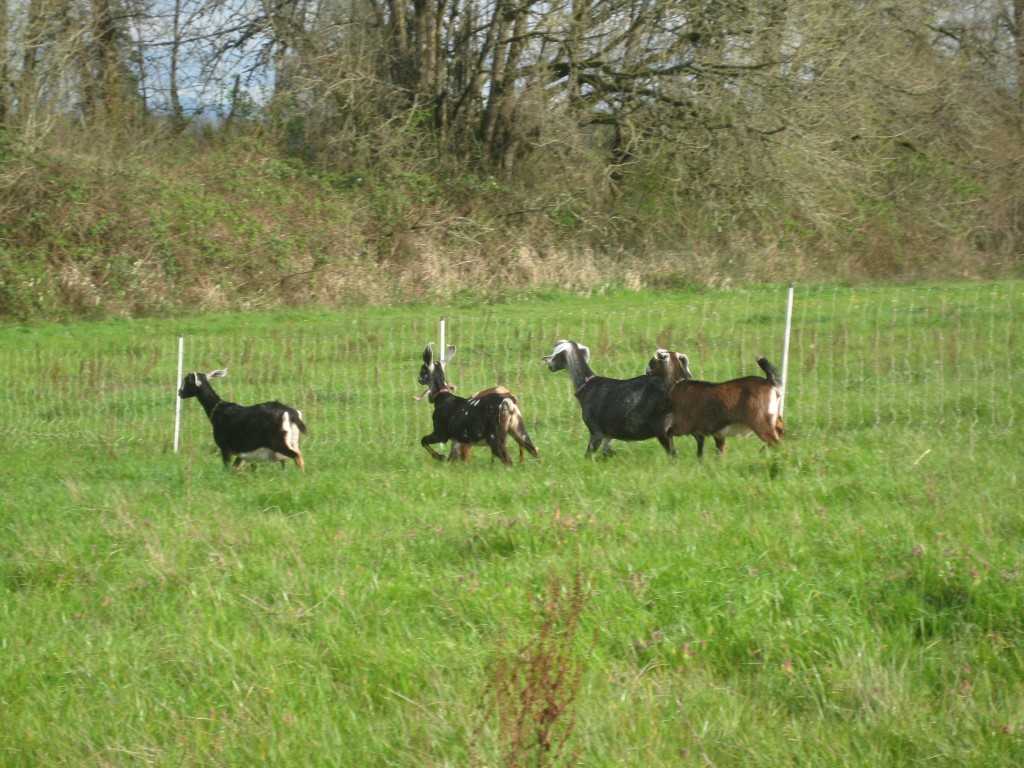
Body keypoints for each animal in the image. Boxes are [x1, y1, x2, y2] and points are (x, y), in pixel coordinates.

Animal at [643, 352, 786, 460]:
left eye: (657, 357)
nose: (647, 370)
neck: (679, 385)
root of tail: (769, 381)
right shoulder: (717, 433)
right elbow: (718, 450)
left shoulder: (684, 425)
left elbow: (669, 433)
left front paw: (674, 453)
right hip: (774, 418)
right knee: (781, 434)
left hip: (760, 421)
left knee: (776, 441)